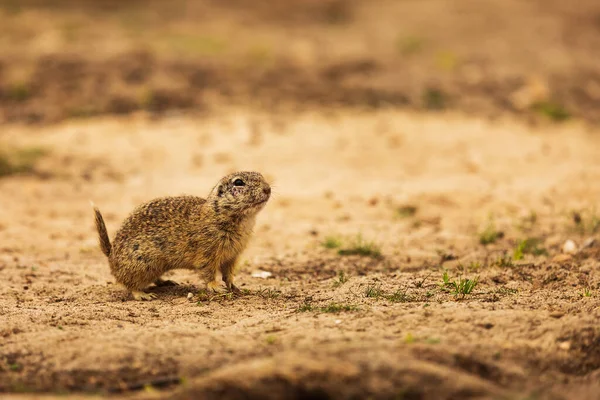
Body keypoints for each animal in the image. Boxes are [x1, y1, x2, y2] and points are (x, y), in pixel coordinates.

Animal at [92, 171, 270, 300]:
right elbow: (208, 272)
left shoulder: (233, 256)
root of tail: (110, 254)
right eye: (239, 182)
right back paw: (143, 295)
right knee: (130, 284)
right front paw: (215, 287)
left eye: (261, 175)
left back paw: (167, 282)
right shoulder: (207, 253)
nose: (268, 189)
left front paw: (234, 286)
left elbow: (228, 274)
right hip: (141, 264)